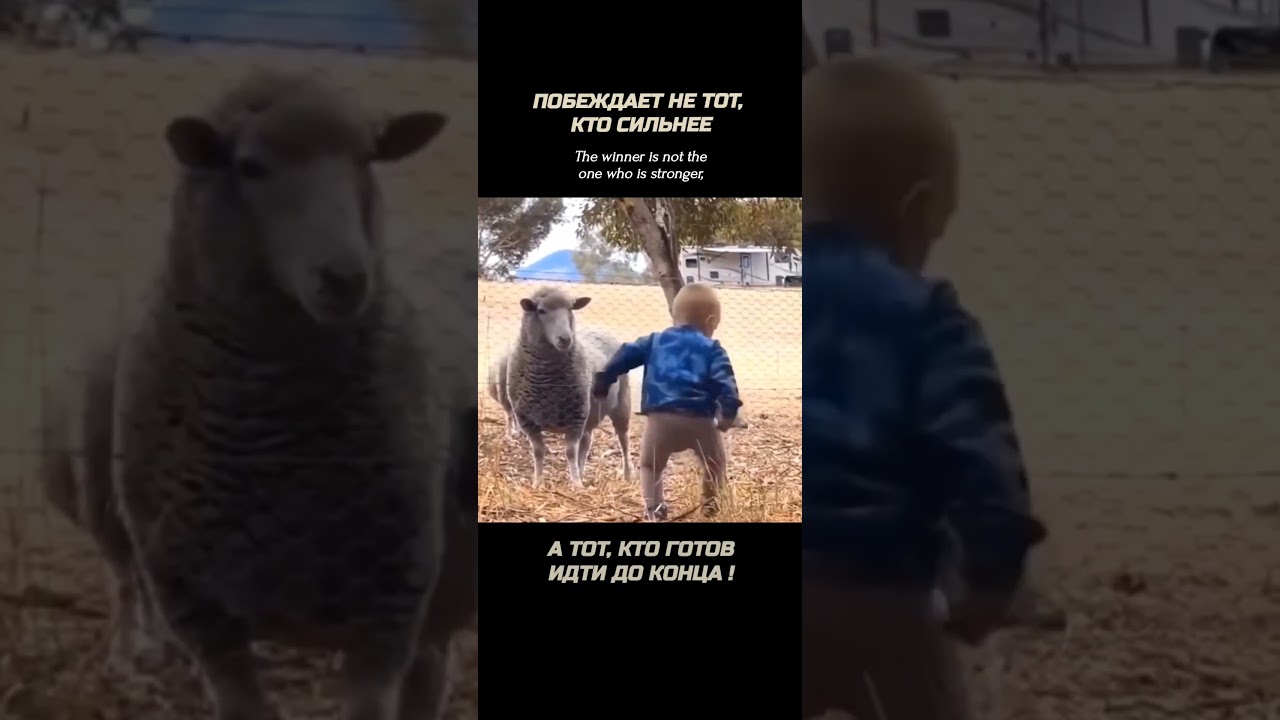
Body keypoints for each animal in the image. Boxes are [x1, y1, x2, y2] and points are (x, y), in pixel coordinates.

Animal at [505, 286, 632, 488]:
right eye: (541, 311)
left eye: (571, 308)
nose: (565, 339)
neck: (546, 381)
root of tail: (602, 329)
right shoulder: (527, 420)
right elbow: (539, 452)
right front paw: (537, 483)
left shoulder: (575, 418)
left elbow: (570, 452)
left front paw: (576, 484)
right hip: (590, 411)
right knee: (587, 442)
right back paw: (582, 471)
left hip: (621, 404)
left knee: (623, 440)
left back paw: (627, 475)